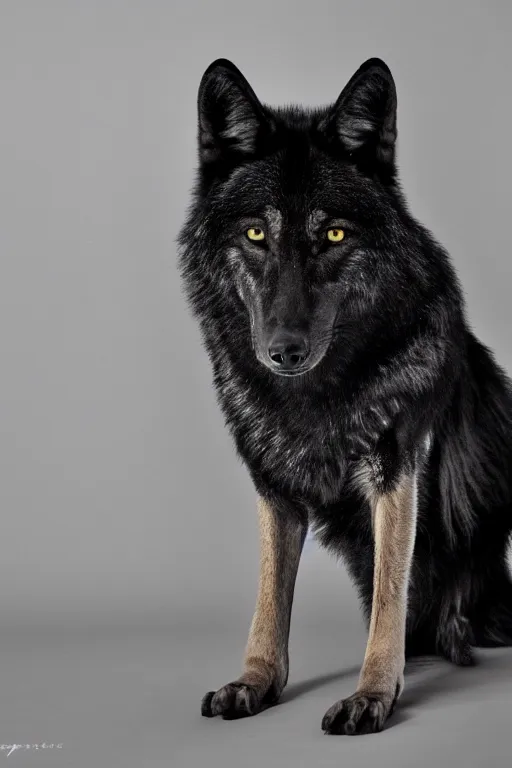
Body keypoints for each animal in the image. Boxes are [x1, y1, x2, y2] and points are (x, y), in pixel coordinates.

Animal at [178, 58, 512, 732]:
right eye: (256, 233)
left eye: (333, 234)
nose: (285, 350)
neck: (315, 400)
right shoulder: (273, 489)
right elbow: (269, 597)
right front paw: (255, 681)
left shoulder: (398, 472)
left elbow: (389, 594)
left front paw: (372, 693)